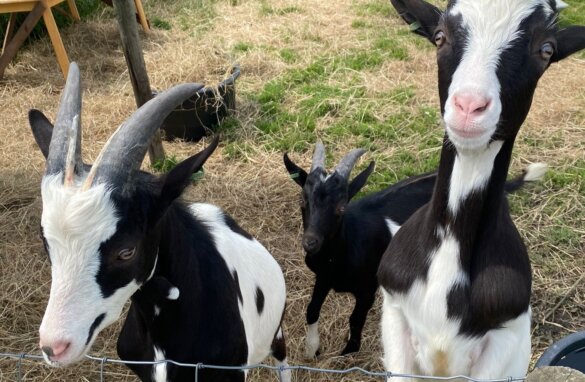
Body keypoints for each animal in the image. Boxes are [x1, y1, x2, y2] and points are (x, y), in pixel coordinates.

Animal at [282, 142, 544, 356]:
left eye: (341, 207)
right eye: (302, 200)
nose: (311, 243)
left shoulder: (367, 289)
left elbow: (355, 319)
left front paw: (347, 352)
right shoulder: (324, 277)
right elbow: (312, 309)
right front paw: (311, 350)